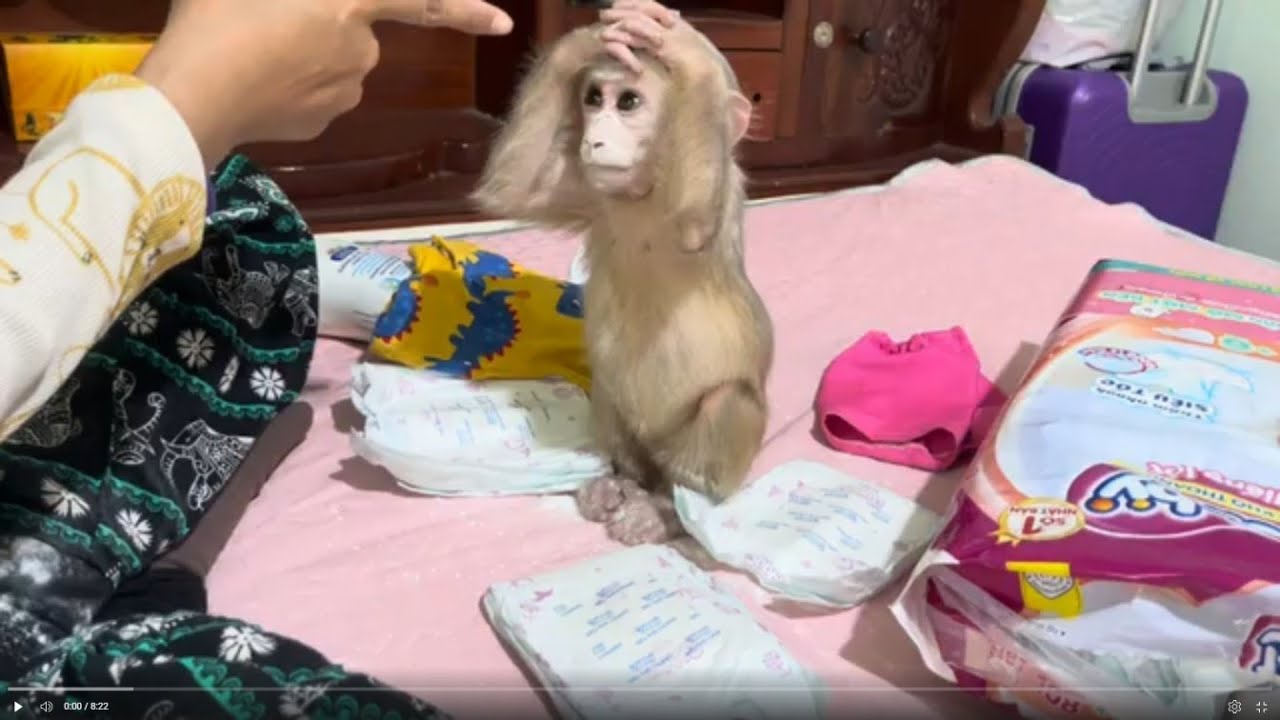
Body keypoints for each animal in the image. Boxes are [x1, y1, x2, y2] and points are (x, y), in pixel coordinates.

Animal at [471, 8, 774, 546]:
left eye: (629, 102)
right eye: (594, 98)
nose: (594, 136)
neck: (648, 189)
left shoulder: (722, 192)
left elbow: (695, 225)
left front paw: (684, 50)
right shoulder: (594, 194)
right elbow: (512, 189)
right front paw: (590, 37)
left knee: (727, 402)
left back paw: (663, 510)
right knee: (610, 391)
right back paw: (617, 483)